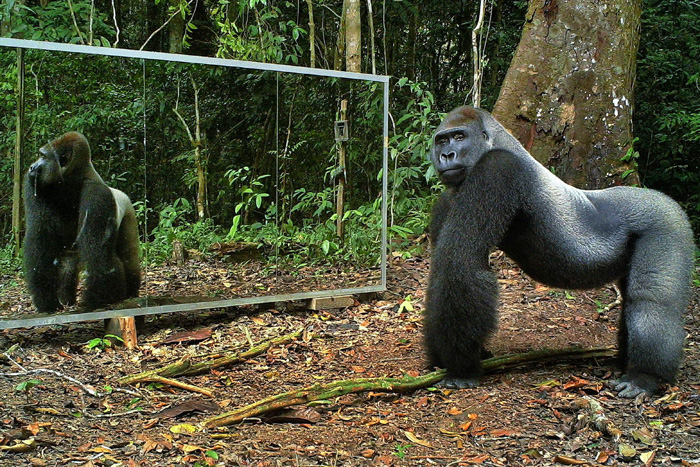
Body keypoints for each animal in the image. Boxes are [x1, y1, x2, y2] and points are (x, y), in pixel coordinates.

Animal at [24, 132, 141, 314]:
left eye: (42, 156)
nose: (31, 167)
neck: (73, 181)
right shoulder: (35, 185)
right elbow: (40, 242)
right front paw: (46, 300)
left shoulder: (97, 195)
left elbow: (98, 256)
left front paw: (94, 301)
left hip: (129, 211)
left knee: (127, 256)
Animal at [426, 107, 696, 398]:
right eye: (441, 141)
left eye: (459, 137)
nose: (446, 155)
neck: (499, 142)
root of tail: (665, 199)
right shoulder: (450, 197)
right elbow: (441, 272)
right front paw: (439, 359)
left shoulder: (497, 168)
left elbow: (463, 264)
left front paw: (461, 368)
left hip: (667, 223)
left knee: (653, 302)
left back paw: (645, 376)